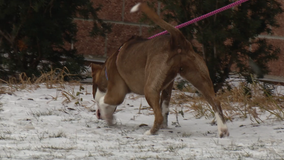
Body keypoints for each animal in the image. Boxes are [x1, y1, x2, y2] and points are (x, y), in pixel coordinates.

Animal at [92, 2, 230, 138]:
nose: (98, 116)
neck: (106, 70)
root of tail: (176, 39)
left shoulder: (117, 92)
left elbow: (103, 101)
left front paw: (108, 117)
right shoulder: (168, 86)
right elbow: (165, 105)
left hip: (150, 88)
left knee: (158, 116)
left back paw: (150, 132)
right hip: (199, 77)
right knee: (215, 102)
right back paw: (223, 130)